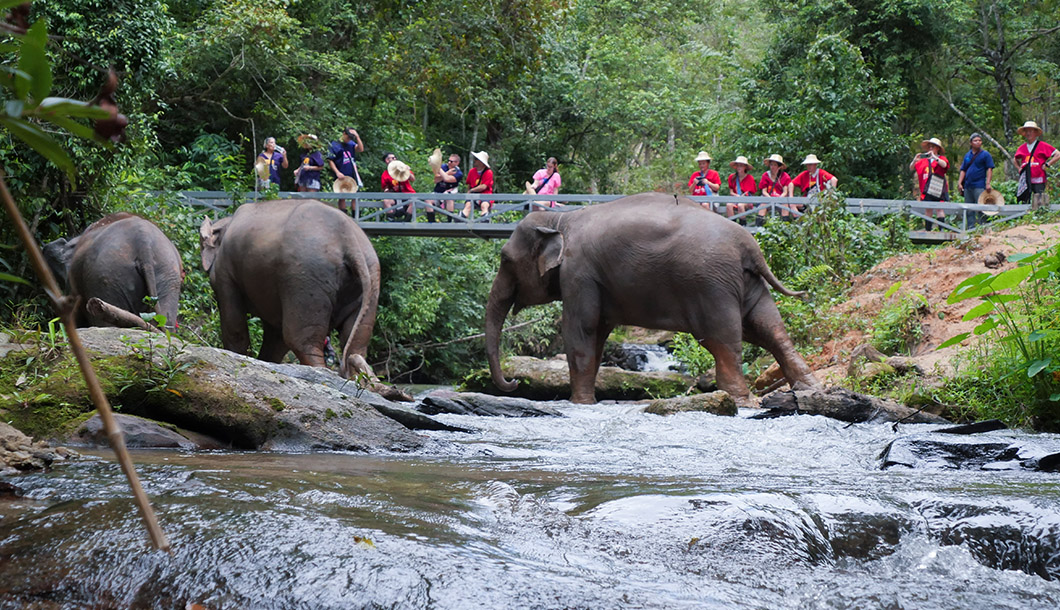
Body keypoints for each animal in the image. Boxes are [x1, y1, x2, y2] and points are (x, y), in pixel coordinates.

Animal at [199, 199, 380, 379]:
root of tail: (350, 241)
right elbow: (276, 337)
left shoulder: (225, 272)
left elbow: (235, 326)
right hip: (370, 279)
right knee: (356, 343)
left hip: (305, 278)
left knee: (299, 339)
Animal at [485, 192, 821, 406]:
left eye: (504, 259)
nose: (514, 383)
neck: (560, 219)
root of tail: (750, 246)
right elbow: (598, 334)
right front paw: (586, 401)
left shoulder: (578, 273)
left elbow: (580, 330)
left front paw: (578, 403)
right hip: (746, 282)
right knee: (769, 328)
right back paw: (810, 389)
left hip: (711, 285)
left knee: (723, 339)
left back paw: (741, 400)